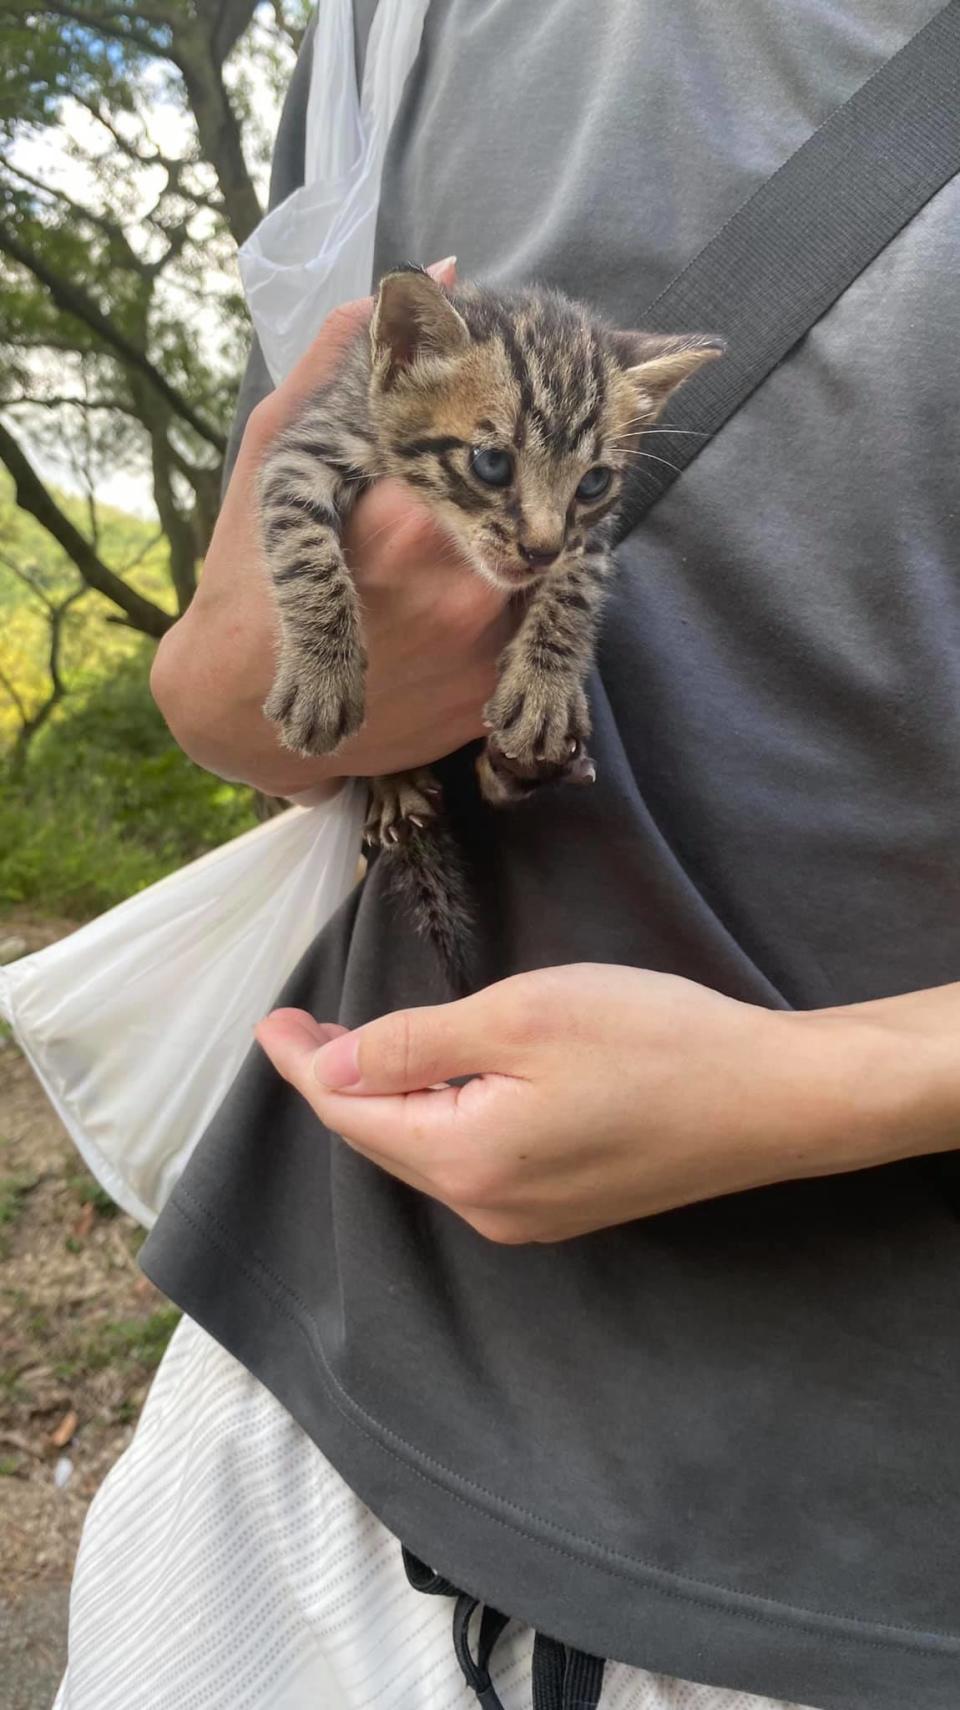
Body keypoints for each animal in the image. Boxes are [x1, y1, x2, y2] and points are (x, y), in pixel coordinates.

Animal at [256, 271, 718, 984]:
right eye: (491, 464)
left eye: (593, 483)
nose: (539, 550)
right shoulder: (305, 449)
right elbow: (302, 546)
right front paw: (321, 673)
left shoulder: (589, 538)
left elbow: (574, 591)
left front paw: (545, 689)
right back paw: (394, 784)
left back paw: (514, 767)